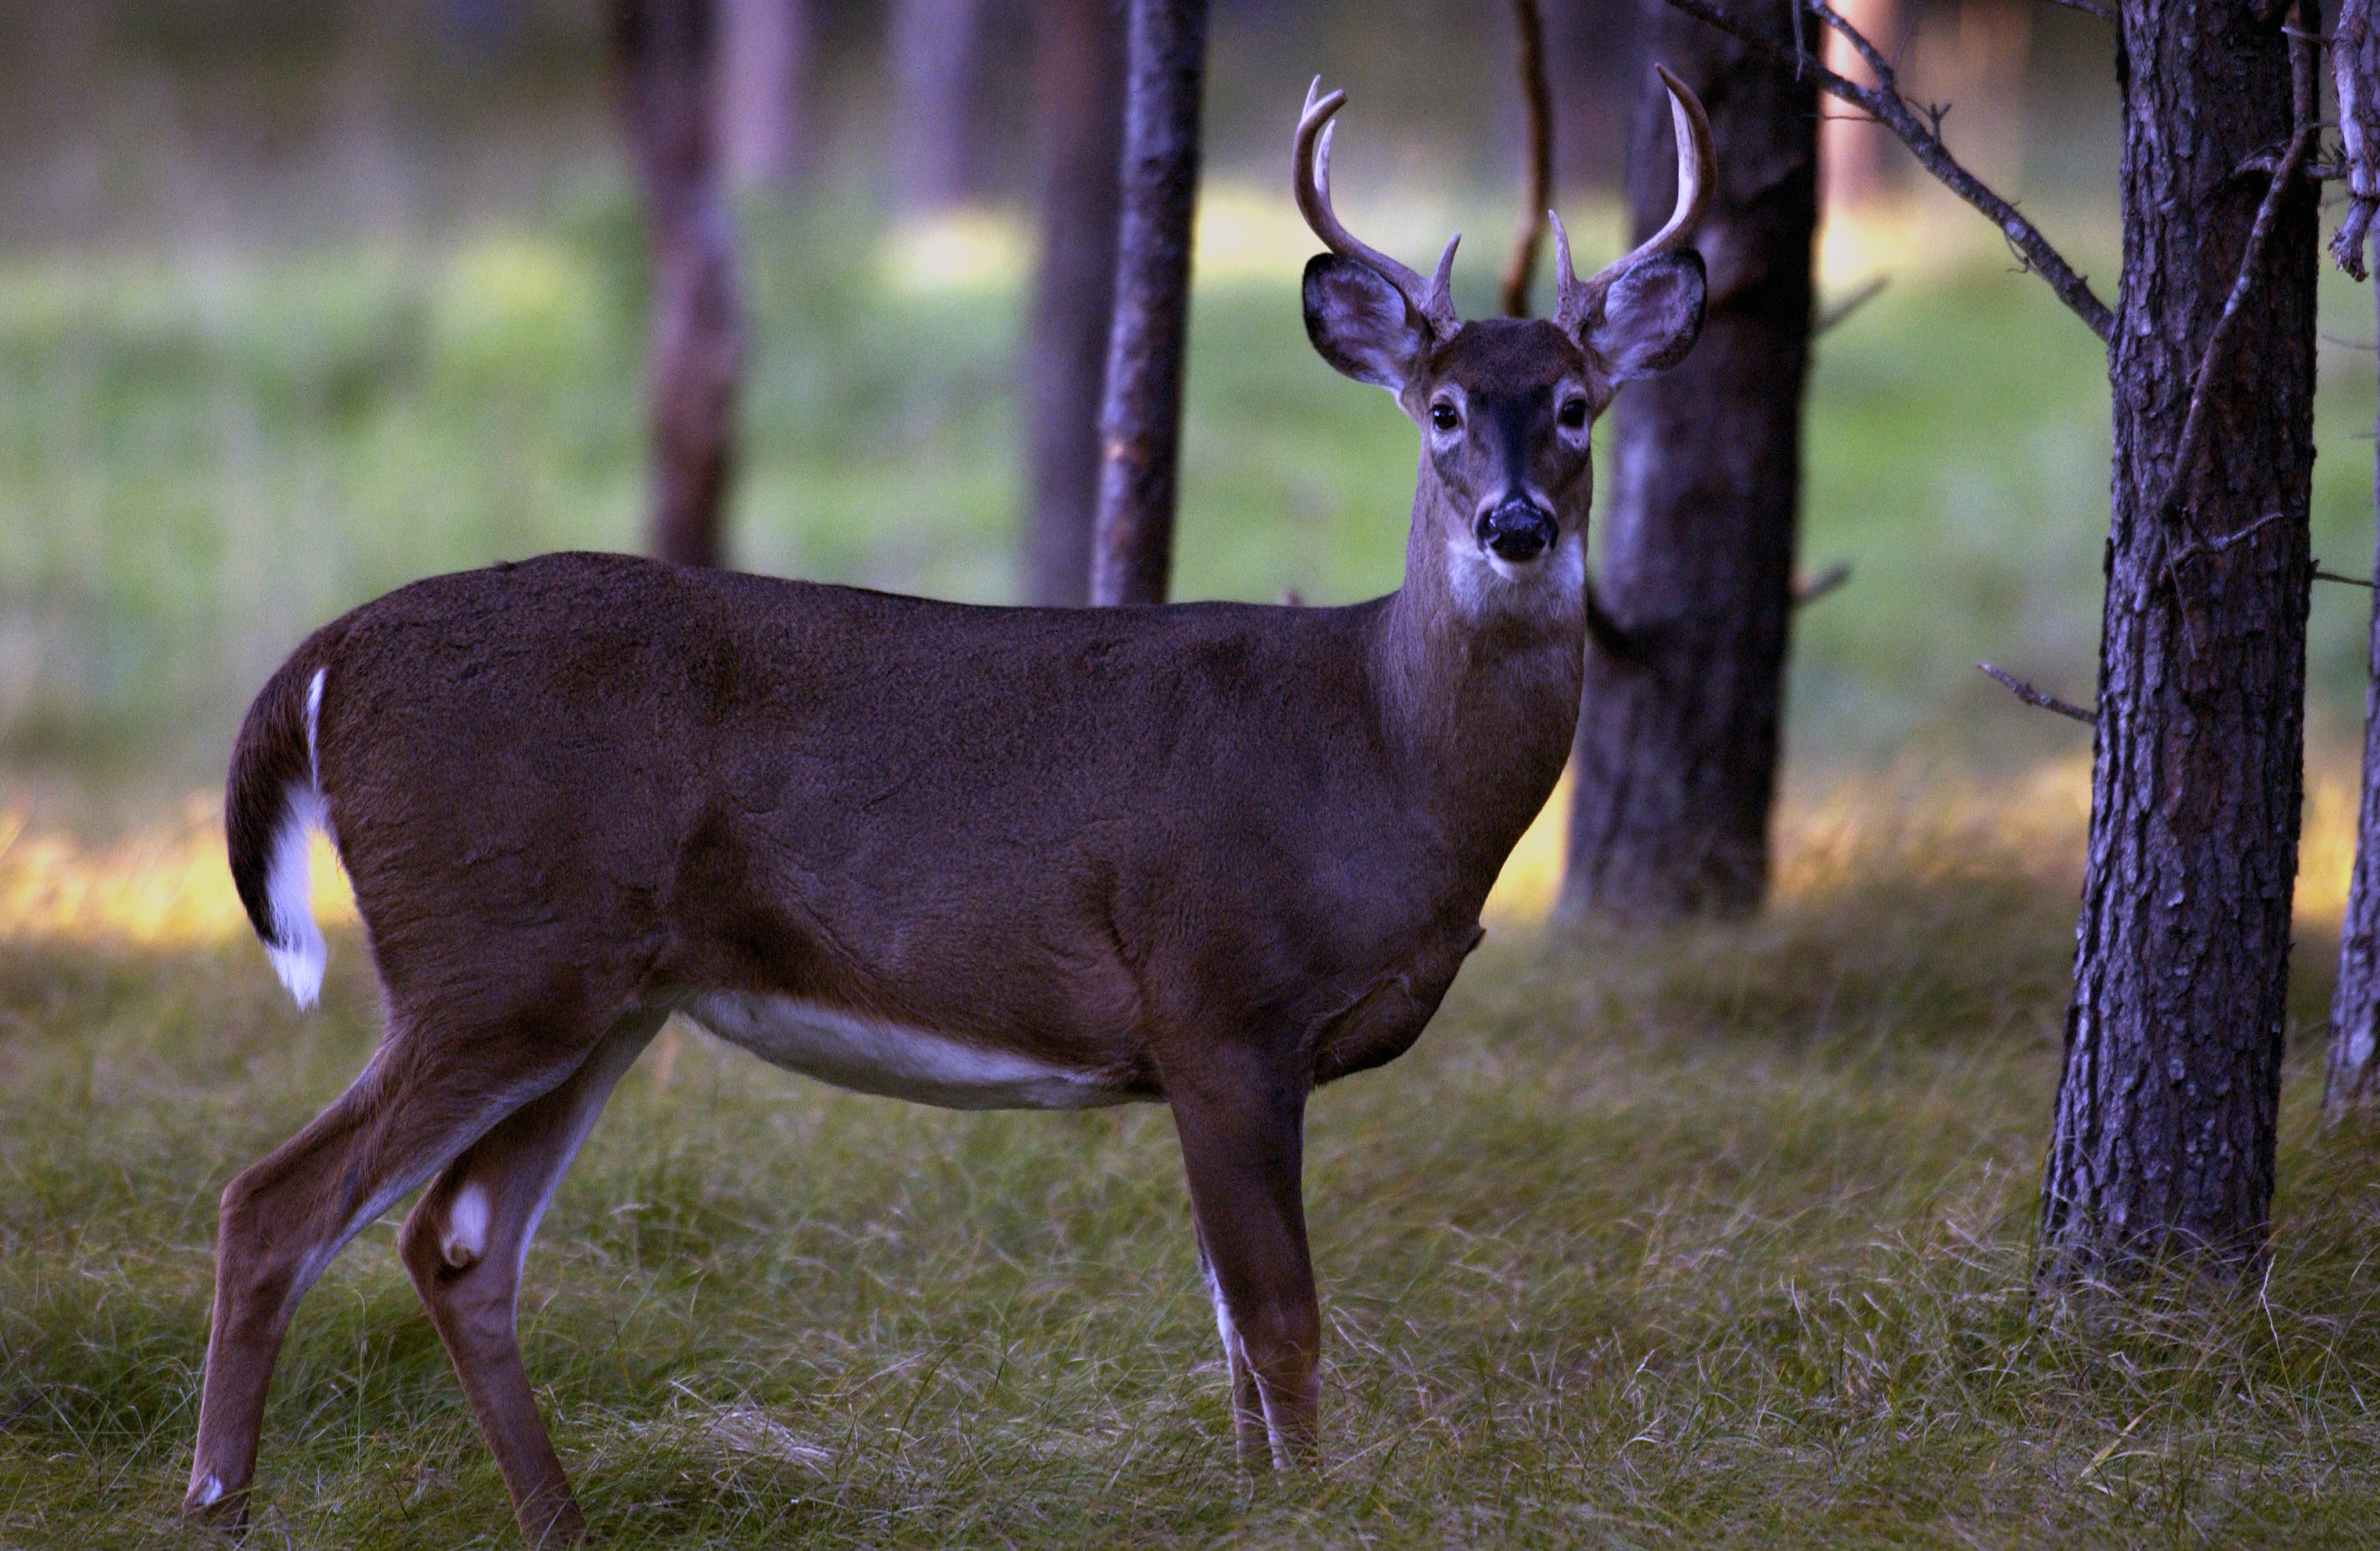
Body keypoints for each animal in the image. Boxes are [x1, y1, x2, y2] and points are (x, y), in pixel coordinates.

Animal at [185, 69, 1713, 1541]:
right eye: (1442, 410)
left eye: (1575, 407)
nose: (1514, 527)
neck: (1378, 757)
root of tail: (327, 658)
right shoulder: (1218, 1000)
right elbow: (1279, 1325)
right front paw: (1309, 1516)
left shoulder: (1219, 1046)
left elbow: (1230, 1332)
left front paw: (1257, 1504)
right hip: (490, 952)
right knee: (275, 1207)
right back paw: (223, 1512)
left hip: (600, 992)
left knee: (457, 1243)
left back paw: (560, 1523)